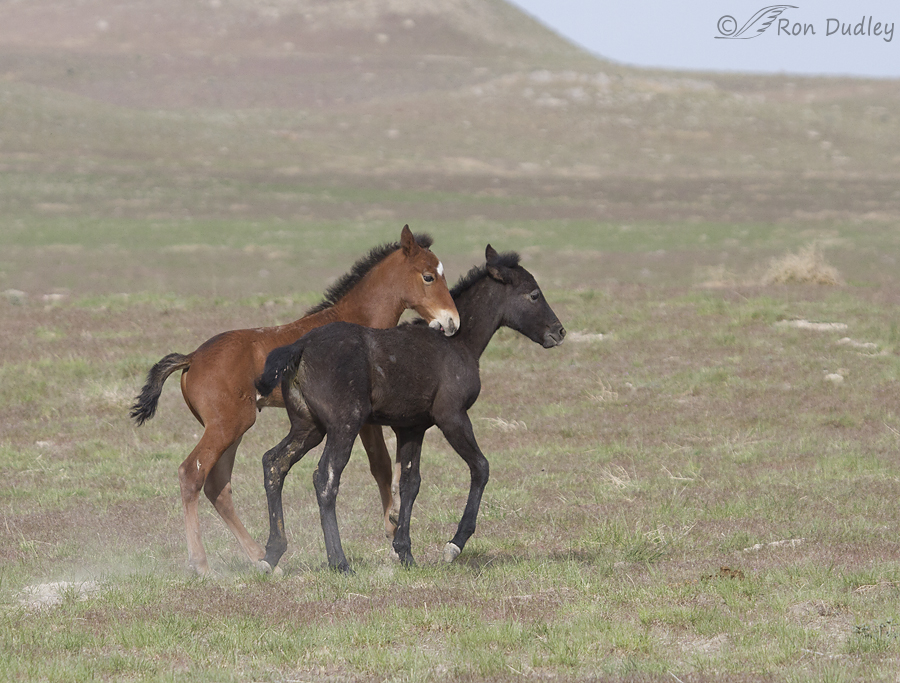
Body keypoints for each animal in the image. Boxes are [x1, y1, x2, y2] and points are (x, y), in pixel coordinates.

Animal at [130, 225, 460, 575]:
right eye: (428, 276)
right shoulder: (362, 418)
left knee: (217, 486)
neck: (356, 318)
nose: (452, 321)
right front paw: (392, 528)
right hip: (228, 425)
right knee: (191, 474)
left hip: (232, 428)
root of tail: (192, 357)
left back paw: (262, 558)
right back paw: (202, 564)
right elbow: (381, 465)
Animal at [254, 244, 565, 573]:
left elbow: (409, 483)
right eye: (534, 294)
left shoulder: (412, 428)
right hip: (344, 426)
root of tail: (300, 347)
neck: (458, 345)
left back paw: (271, 555)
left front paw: (404, 552)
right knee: (325, 478)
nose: (559, 331)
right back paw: (339, 561)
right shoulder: (452, 417)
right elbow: (480, 467)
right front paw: (453, 545)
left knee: (274, 463)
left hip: (308, 427)